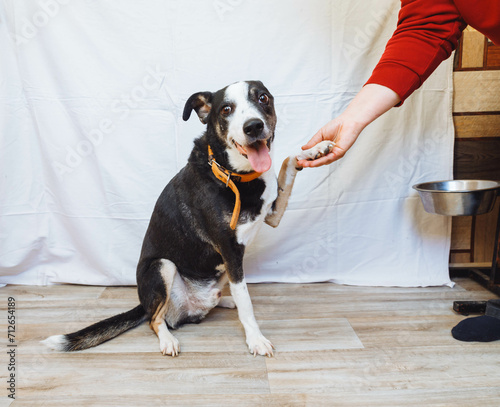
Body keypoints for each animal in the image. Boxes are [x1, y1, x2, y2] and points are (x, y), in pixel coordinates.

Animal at [42, 79, 332, 356]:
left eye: (263, 98)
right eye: (226, 109)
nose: (253, 126)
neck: (235, 174)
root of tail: (144, 304)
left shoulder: (270, 215)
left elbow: (286, 162)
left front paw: (314, 150)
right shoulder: (229, 248)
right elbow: (247, 302)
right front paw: (256, 340)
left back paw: (224, 300)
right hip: (162, 266)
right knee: (155, 320)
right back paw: (168, 340)